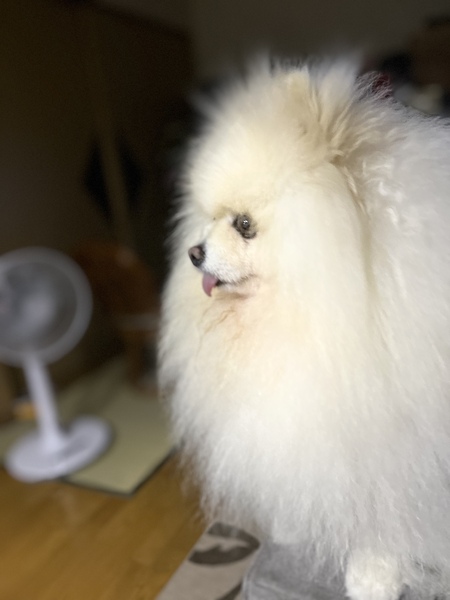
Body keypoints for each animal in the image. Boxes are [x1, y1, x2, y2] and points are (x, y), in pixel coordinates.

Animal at [158, 57, 450, 600]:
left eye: (245, 225)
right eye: (211, 217)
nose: (194, 252)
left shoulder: (395, 443)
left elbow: (387, 516)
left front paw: (373, 577)